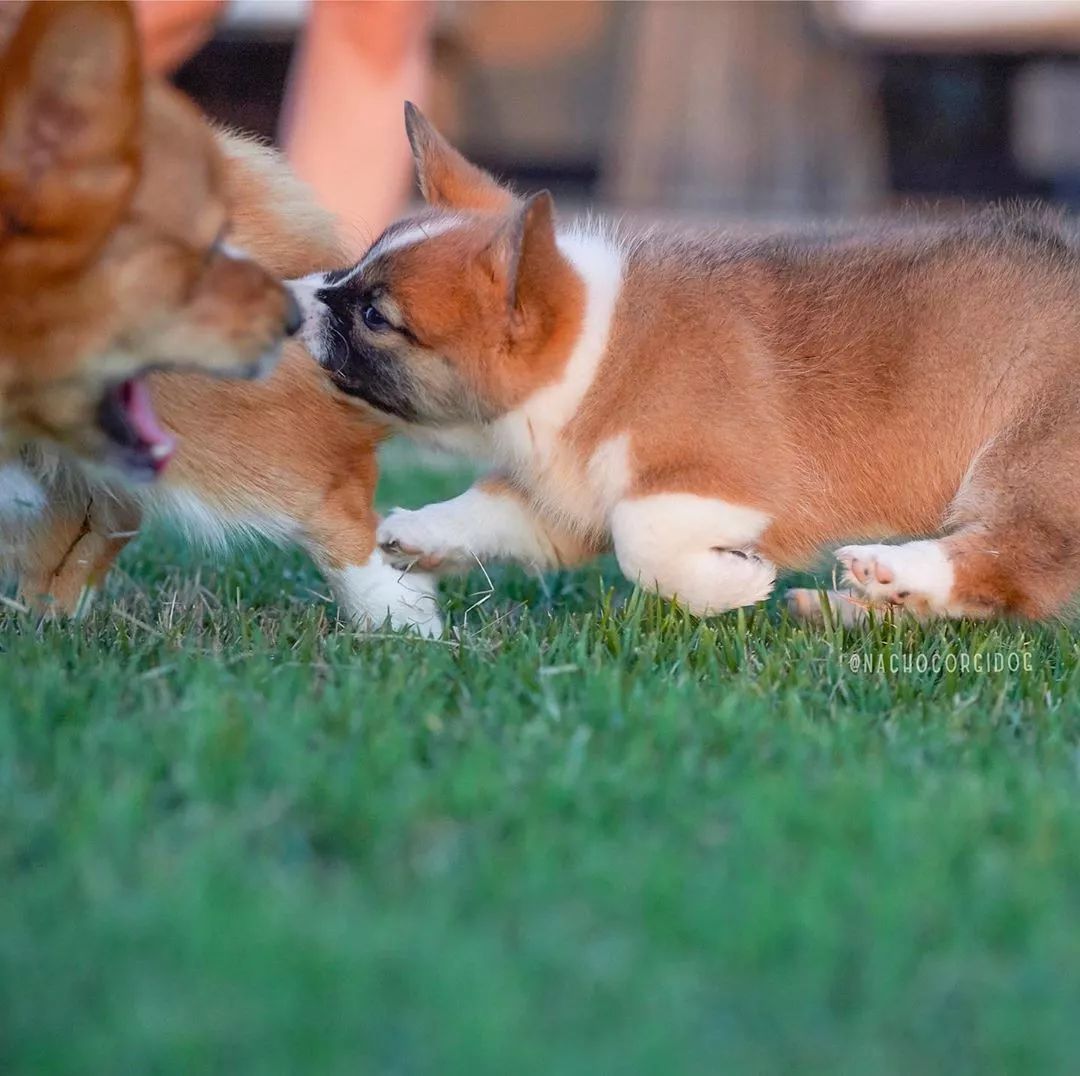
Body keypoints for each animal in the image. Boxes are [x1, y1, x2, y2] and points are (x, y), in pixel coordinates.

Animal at [300, 104, 1080, 622]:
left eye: (375, 317)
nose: (299, 296)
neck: (595, 354)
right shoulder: (566, 501)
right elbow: (488, 509)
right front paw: (414, 532)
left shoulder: (727, 483)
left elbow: (639, 540)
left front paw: (734, 586)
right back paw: (851, 606)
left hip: (1028, 463)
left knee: (1020, 555)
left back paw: (887, 568)